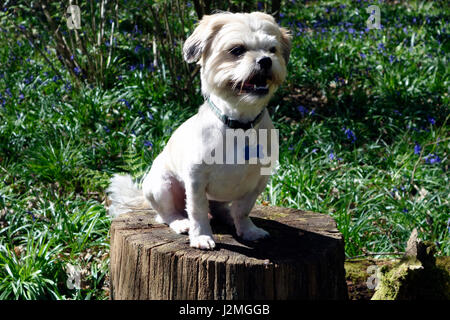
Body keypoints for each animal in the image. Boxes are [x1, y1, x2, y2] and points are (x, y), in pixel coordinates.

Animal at [107, 11, 294, 250]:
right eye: (237, 50)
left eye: (273, 49)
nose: (265, 60)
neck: (239, 124)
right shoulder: (196, 180)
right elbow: (197, 211)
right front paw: (201, 236)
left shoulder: (257, 182)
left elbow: (243, 210)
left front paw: (248, 230)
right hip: (162, 186)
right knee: (168, 213)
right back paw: (180, 222)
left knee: (221, 209)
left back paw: (227, 217)